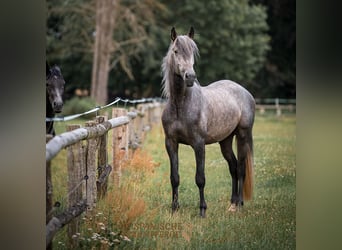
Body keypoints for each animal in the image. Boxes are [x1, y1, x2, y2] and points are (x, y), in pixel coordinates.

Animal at [162, 27, 255, 218]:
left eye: (192, 52)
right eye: (176, 51)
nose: (190, 77)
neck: (180, 105)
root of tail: (245, 92)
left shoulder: (199, 144)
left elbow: (200, 178)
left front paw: (202, 211)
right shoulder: (171, 143)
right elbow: (174, 177)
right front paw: (174, 209)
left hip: (243, 136)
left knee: (241, 168)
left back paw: (239, 205)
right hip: (225, 141)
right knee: (233, 167)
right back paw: (232, 204)